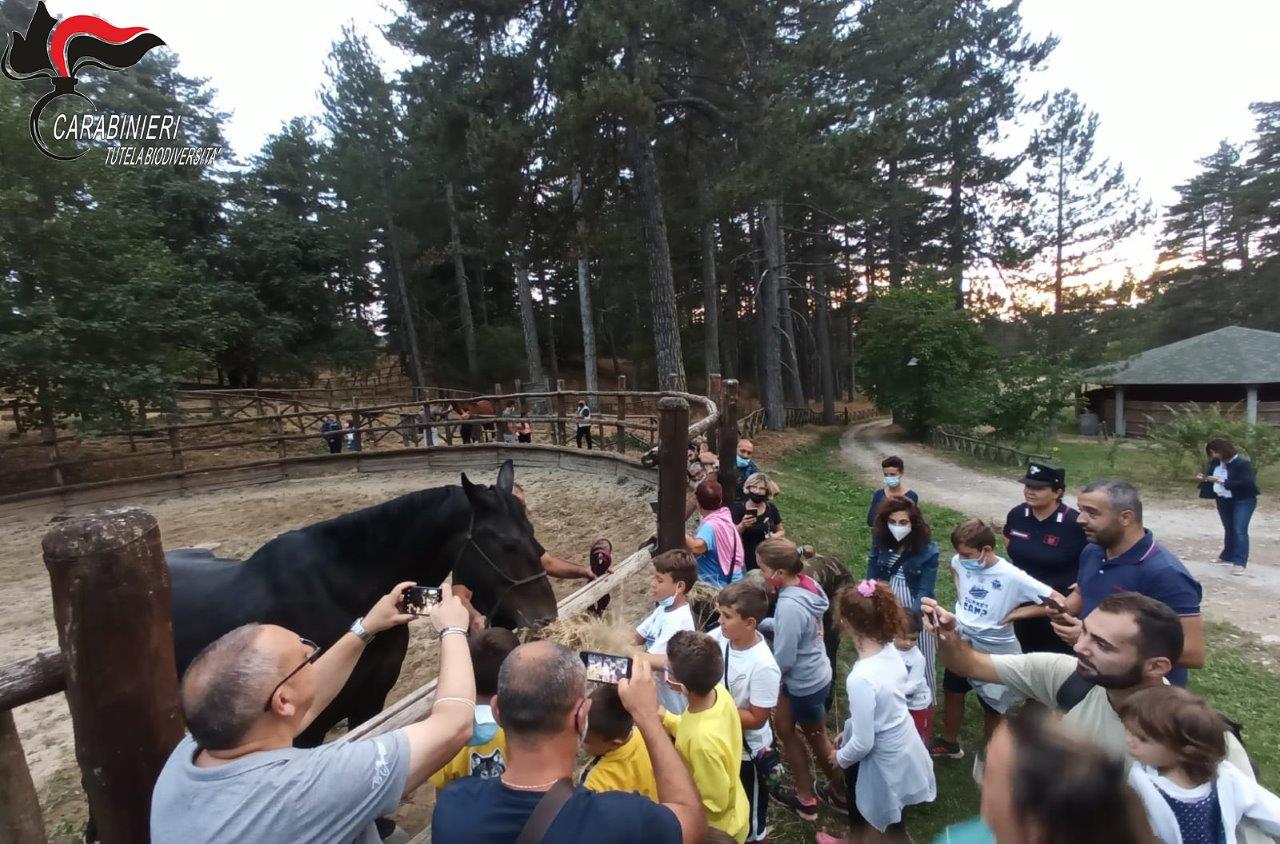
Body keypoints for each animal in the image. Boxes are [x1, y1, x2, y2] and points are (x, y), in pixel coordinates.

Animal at [167, 461, 552, 747]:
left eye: (533, 533)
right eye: (507, 544)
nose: (546, 616)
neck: (343, 592)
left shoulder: (370, 703)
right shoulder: (306, 729)